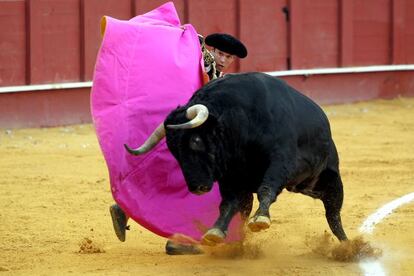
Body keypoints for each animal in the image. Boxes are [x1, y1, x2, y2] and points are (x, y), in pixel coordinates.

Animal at [124, 72, 348, 245]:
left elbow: (267, 187)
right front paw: (215, 232)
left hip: (331, 180)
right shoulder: (231, 177)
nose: (197, 187)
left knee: (333, 214)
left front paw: (261, 219)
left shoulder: (281, 160)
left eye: (196, 140)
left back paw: (348, 247)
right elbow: (229, 204)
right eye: (173, 151)